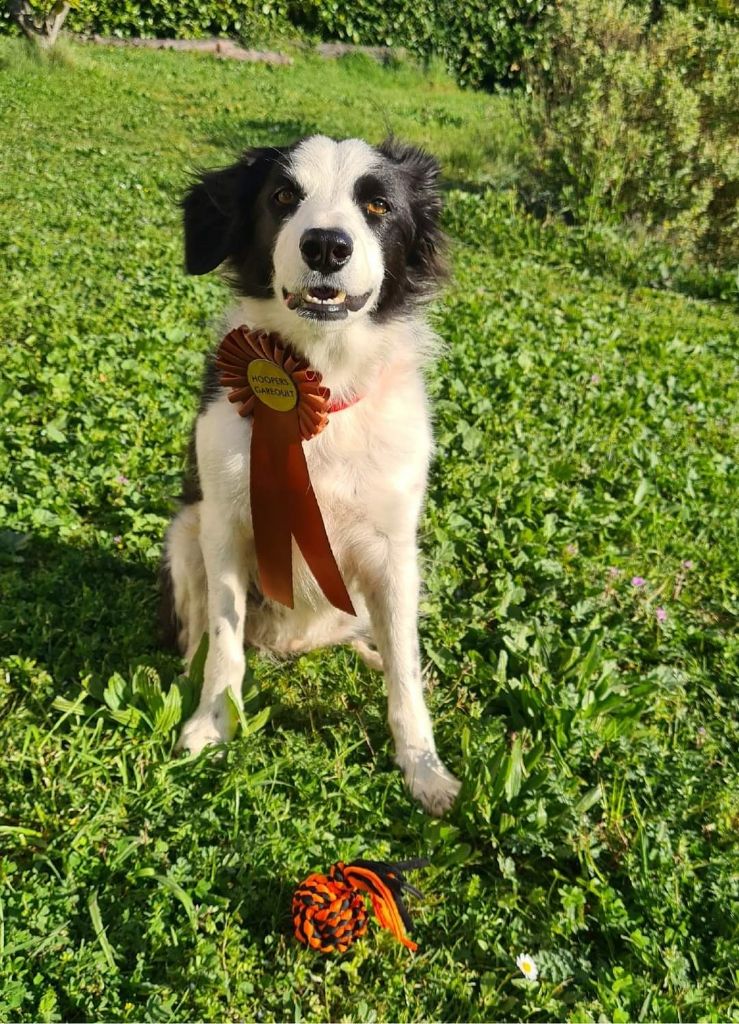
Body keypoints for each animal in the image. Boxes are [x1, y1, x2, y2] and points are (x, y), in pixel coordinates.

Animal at [160, 134, 458, 815]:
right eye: (282, 196)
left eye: (377, 205)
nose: (326, 245)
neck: (320, 382)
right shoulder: (224, 527)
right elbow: (223, 645)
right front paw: (209, 725)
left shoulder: (394, 551)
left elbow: (406, 670)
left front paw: (423, 768)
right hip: (185, 531)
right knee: (197, 633)